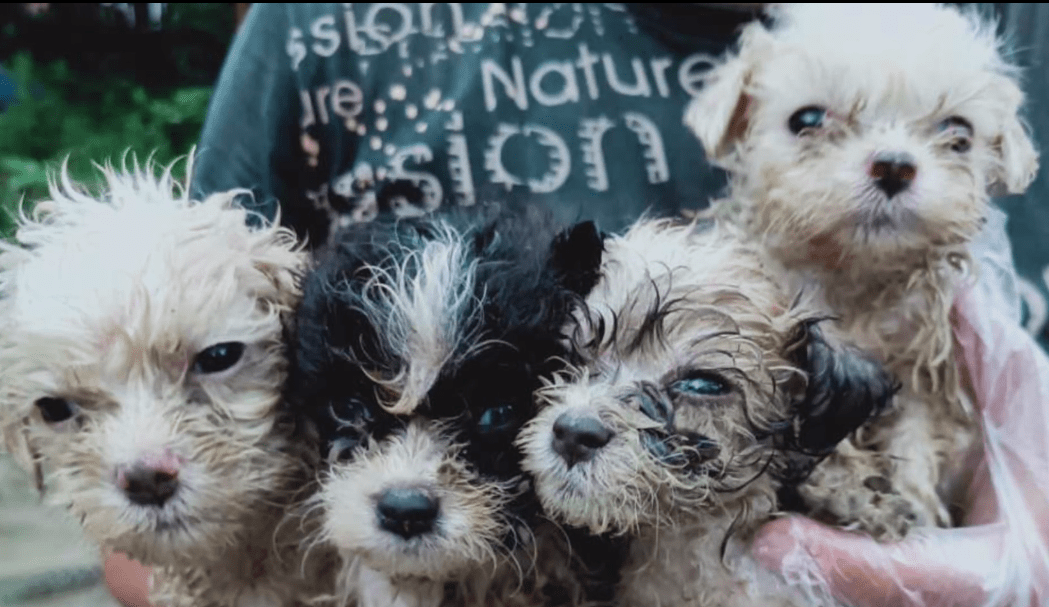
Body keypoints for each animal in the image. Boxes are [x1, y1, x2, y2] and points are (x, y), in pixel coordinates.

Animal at [683, 1, 1036, 540]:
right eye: (807, 119)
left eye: (957, 133)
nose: (893, 165)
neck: (850, 279)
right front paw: (854, 489)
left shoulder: (921, 370)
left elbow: (914, 434)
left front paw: (913, 502)